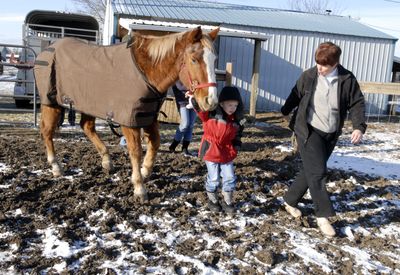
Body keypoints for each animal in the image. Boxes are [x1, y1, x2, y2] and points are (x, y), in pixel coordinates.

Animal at [35, 27, 219, 202]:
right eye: (194, 59)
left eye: (214, 60)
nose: (210, 101)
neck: (147, 71)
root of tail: (46, 51)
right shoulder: (129, 121)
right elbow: (136, 151)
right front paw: (139, 187)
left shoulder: (148, 116)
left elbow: (155, 144)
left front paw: (144, 171)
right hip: (51, 102)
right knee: (47, 131)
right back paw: (56, 166)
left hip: (88, 104)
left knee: (86, 127)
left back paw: (106, 160)